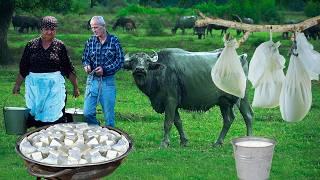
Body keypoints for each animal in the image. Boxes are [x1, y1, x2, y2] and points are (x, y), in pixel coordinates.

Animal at [124, 48, 254, 148]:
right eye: (133, 61)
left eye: (147, 61)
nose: (140, 69)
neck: (160, 72)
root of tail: (241, 57)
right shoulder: (173, 104)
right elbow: (178, 122)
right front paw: (184, 141)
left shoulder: (170, 101)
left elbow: (168, 122)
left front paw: (165, 143)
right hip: (226, 101)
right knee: (238, 117)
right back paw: (222, 142)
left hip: (236, 98)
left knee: (241, 116)